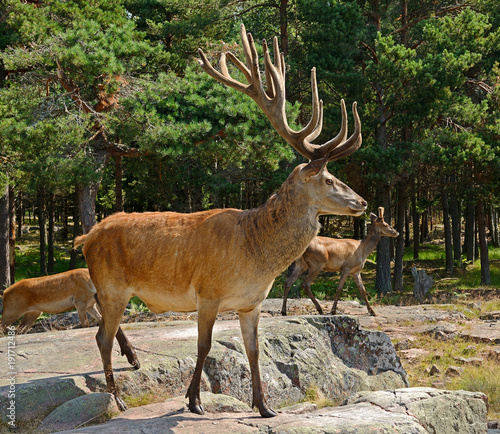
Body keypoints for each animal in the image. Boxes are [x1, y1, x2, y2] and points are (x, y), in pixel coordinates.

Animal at [73, 25, 368, 418]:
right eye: (329, 179)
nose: (363, 202)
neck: (255, 255)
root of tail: (87, 237)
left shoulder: (251, 303)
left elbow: (253, 351)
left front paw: (264, 406)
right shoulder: (208, 292)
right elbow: (204, 346)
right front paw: (194, 401)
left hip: (109, 288)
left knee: (102, 328)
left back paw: (131, 362)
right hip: (112, 284)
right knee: (101, 336)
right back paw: (117, 398)